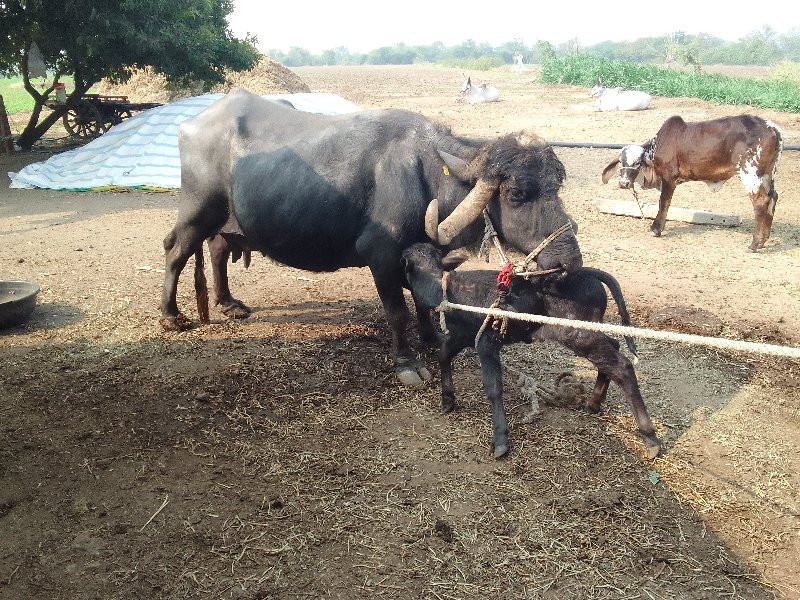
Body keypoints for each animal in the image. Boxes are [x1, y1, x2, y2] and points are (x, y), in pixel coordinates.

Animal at [161, 88, 580, 384]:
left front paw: (430, 337)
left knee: (216, 249)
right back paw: (172, 316)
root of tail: (192, 124)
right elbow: (397, 311)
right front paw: (407, 362)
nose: (569, 261)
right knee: (176, 250)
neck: (426, 174)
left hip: (227, 221)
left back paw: (228, 303)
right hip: (198, 210)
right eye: (517, 193)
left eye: (556, 185)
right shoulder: (381, 256)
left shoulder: (421, 255)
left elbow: (425, 300)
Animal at [404, 241, 660, 458]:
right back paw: (595, 401)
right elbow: (443, 354)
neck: (447, 291)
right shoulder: (462, 336)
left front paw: (500, 439)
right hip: (590, 330)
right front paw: (447, 399)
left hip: (578, 334)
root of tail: (589, 273)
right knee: (612, 350)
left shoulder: (487, 342)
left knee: (622, 366)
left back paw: (650, 438)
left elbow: (493, 387)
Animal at [600, 115, 780, 251]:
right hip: (767, 175)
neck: (658, 145)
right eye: (621, 162)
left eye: (637, 162)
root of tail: (771, 127)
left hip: (750, 174)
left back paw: (755, 243)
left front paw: (656, 229)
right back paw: (764, 240)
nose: (623, 183)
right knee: (773, 197)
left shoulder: (669, 178)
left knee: (761, 201)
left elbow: (664, 203)